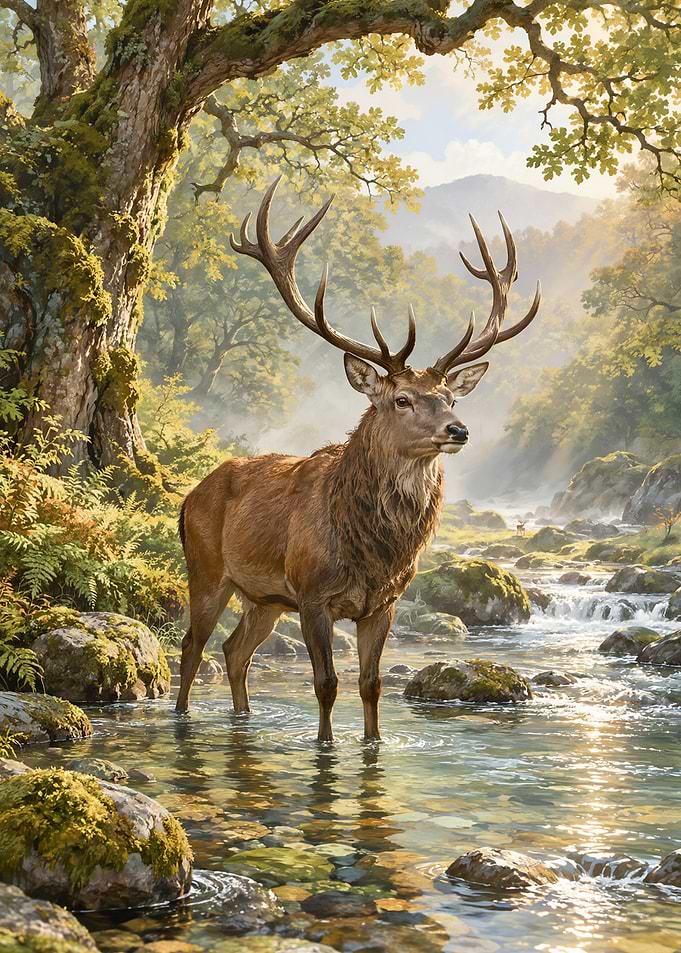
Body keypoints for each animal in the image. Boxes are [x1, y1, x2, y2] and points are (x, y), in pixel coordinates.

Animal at [176, 177, 540, 743]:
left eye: (449, 398)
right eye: (402, 399)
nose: (458, 430)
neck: (370, 550)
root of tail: (189, 496)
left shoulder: (382, 603)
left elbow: (372, 686)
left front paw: (374, 744)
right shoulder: (311, 594)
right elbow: (327, 684)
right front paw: (325, 746)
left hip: (263, 597)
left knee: (235, 651)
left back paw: (243, 717)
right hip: (208, 568)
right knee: (192, 647)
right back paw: (182, 719)